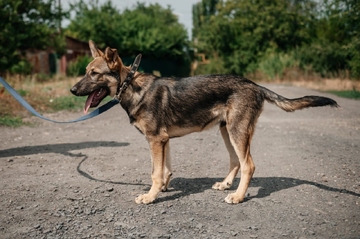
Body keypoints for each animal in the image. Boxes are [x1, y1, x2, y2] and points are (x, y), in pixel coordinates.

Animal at [69, 40, 338, 204]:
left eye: (94, 74)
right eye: (86, 71)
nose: (71, 90)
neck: (131, 86)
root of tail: (255, 85)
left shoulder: (155, 140)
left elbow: (155, 172)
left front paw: (150, 196)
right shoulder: (163, 140)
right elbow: (164, 169)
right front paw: (163, 187)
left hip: (237, 131)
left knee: (249, 165)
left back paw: (238, 196)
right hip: (227, 131)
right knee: (236, 161)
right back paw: (226, 185)